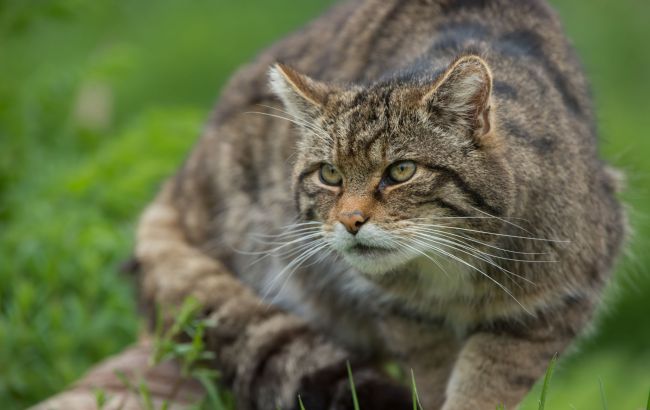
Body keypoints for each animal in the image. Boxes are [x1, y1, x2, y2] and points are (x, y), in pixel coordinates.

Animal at [135, 0, 624, 410]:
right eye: (329, 174)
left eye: (401, 171)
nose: (350, 220)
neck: (449, 266)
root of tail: (184, 173)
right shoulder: (407, 317)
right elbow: (432, 378)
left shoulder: (552, 307)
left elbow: (488, 382)